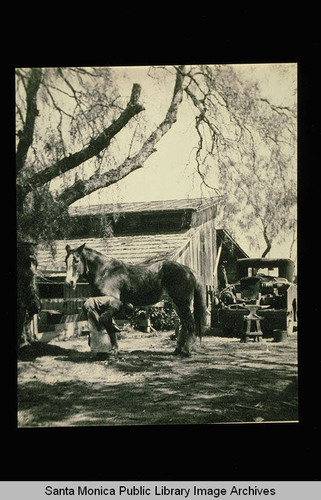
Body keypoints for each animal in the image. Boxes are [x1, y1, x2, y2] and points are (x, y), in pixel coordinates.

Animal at [64, 242, 208, 356]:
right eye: (66, 261)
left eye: (76, 260)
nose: (69, 282)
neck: (105, 271)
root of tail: (189, 271)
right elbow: (108, 324)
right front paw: (114, 349)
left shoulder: (112, 300)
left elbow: (107, 321)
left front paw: (114, 348)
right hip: (177, 304)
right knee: (184, 325)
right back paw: (177, 350)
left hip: (182, 303)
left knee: (190, 324)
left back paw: (186, 351)